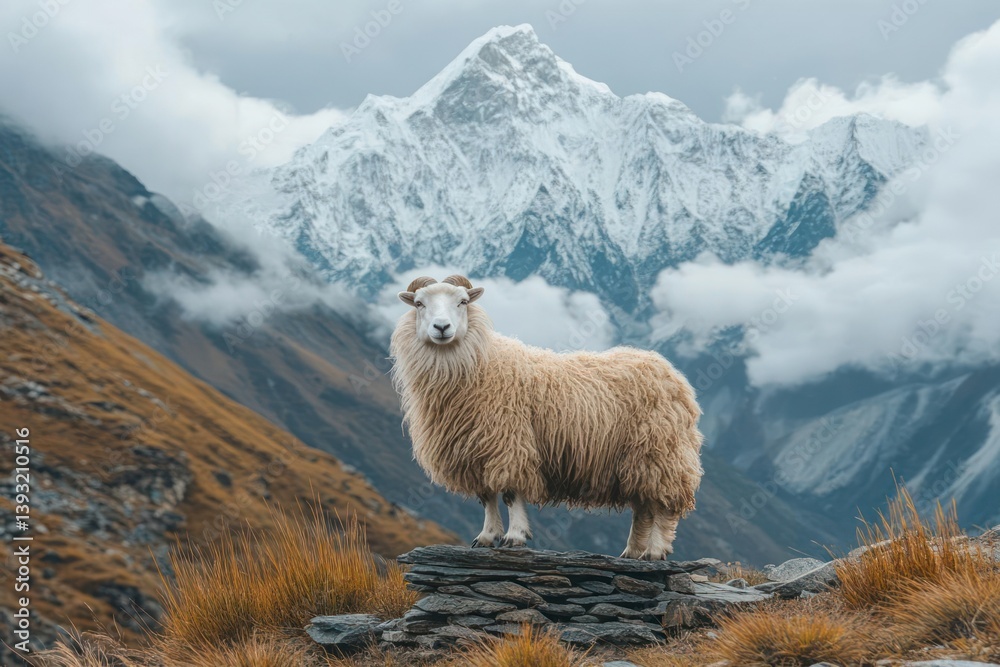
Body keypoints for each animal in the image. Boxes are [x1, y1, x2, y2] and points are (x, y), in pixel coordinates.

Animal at [389, 275, 704, 560]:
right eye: (419, 304)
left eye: (463, 302)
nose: (441, 327)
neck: (480, 363)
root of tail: (670, 372)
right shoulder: (476, 453)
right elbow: (487, 497)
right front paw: (486, 537)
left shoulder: (509, 444)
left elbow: (510, 493)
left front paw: (515, 537)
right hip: (637, 461)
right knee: (643, 507)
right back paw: (632, 552)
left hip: (661, 453)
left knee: (662, 505)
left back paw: (654, 551)